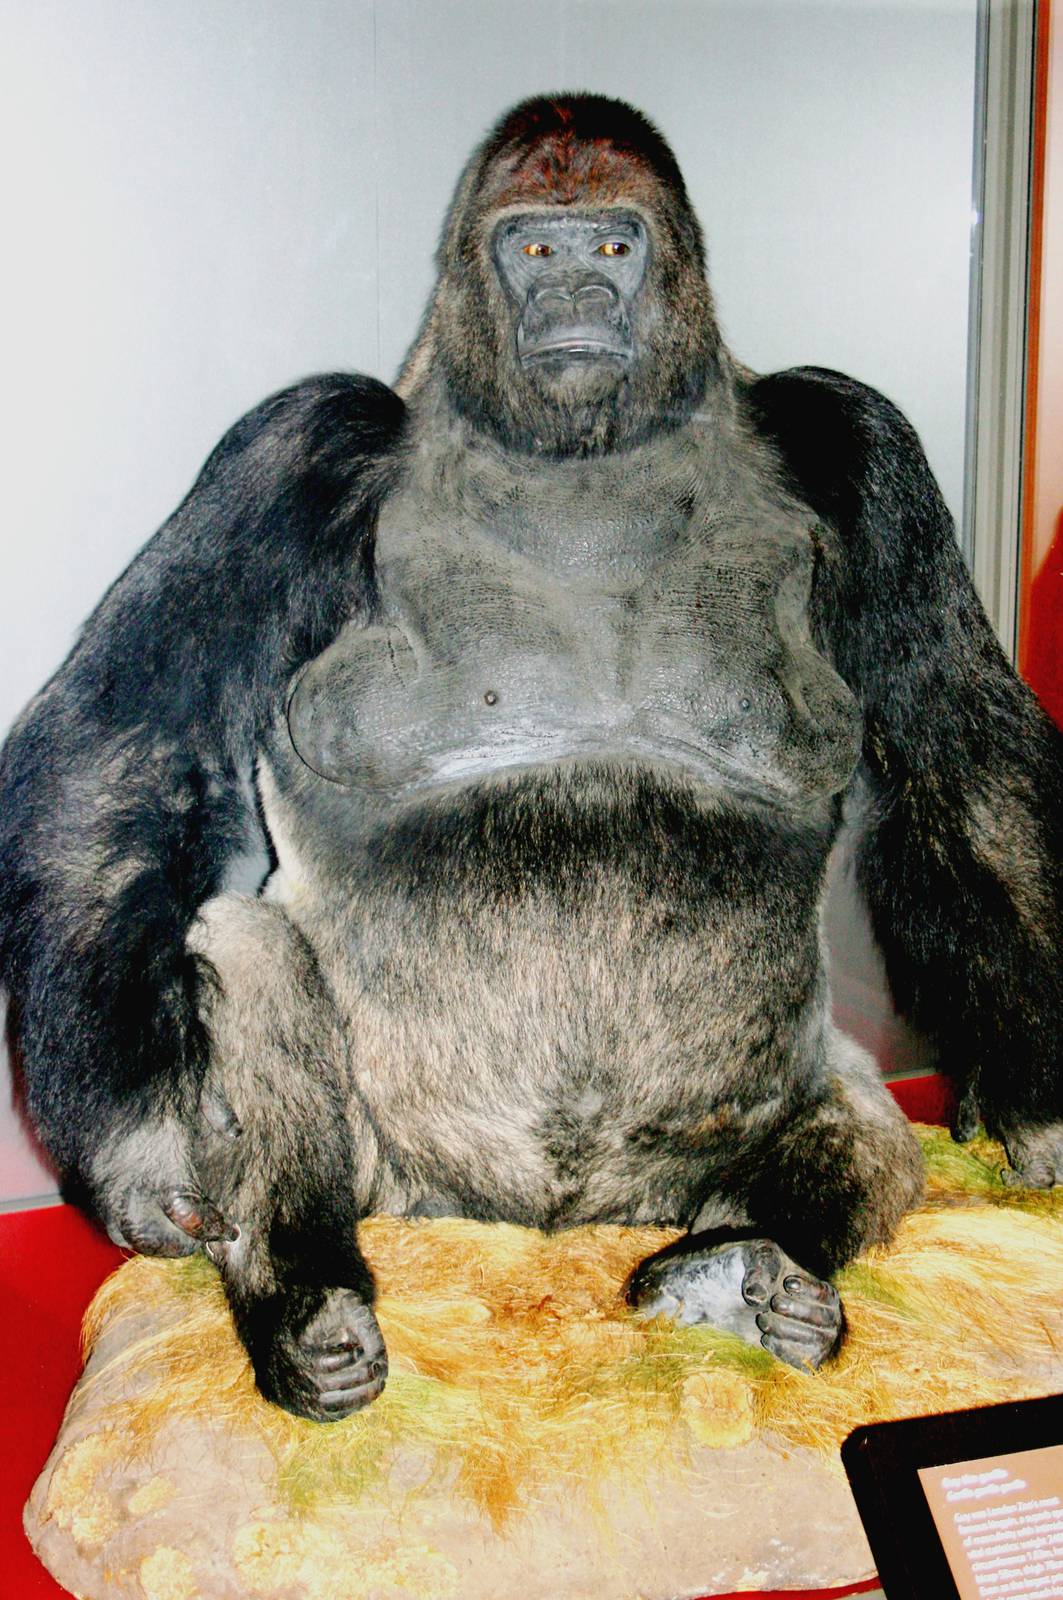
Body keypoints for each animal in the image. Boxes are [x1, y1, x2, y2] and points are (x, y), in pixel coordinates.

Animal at [1, 94, 1061, 1421]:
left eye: (612, 244)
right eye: (531, 247)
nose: (576, 300)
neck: (582, 448)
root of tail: (542, 1229)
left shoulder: (855, 441)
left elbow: (953, 748)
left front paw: (1034, 1094)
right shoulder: (297, 445)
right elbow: (132, 743)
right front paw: (135, 1148)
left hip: (688, 1174)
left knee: (860, 1118)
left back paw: (751, 1267)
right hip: (399, 1192)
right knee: (239, 943)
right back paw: (304, 1296)